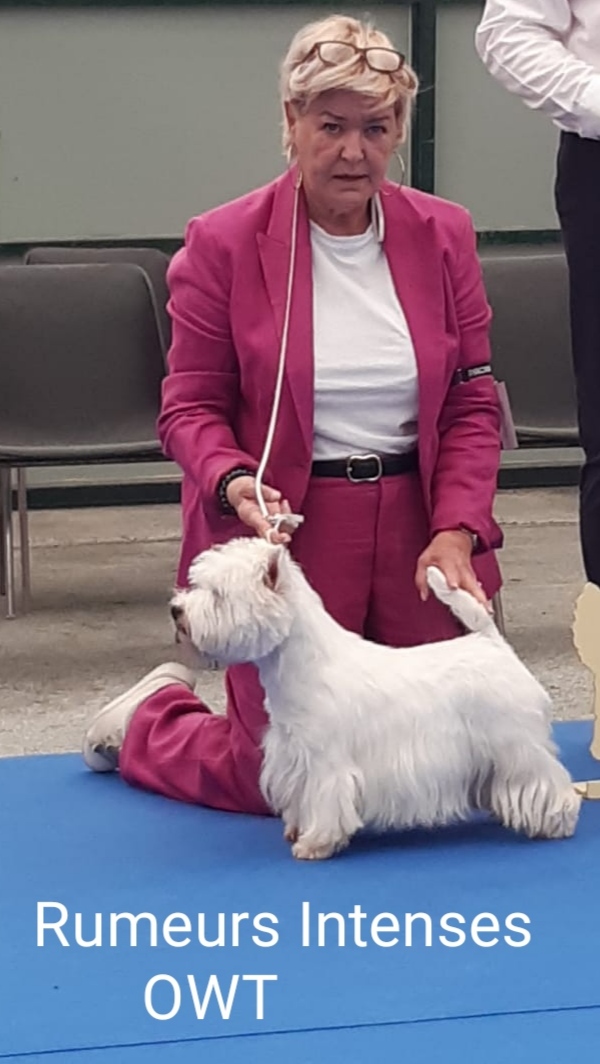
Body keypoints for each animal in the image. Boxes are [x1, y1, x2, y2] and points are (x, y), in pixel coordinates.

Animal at [170, 540, 582, 855]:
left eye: (218, 595)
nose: (176, 610)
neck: (304, 665)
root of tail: (492, 642)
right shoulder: (293, 754)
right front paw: (297, 829)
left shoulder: (326, 763)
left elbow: (324, 801)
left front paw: (314, 844)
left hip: (516, 742)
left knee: (546, 780)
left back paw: (556, 821)